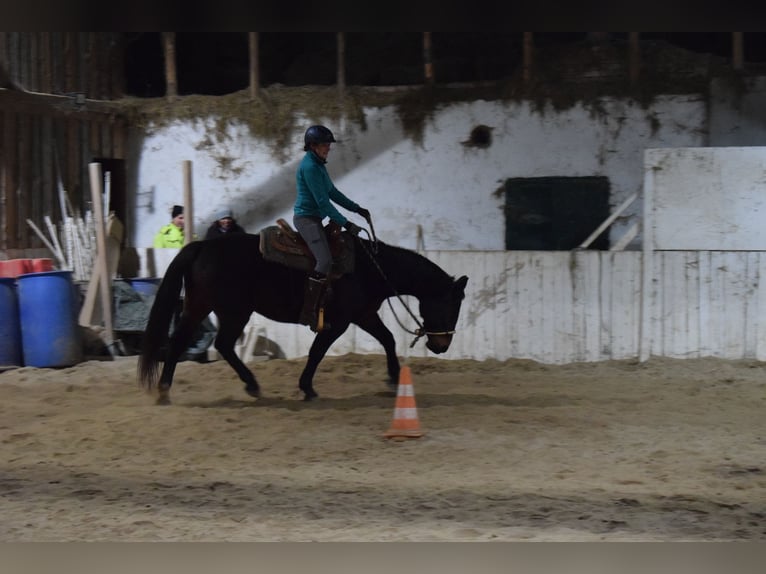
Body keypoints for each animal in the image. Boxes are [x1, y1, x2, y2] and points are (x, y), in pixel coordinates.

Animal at [141, 233, 472, 404]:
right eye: (450, 304)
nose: (441, 346)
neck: (368, 268)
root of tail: (202, 246)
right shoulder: (339, 322)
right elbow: (317, 352)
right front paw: (307, 388)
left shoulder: (363, 314)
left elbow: (388, 339)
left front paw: (392, 377)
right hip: (229, 311)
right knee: (213, 343)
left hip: (207, 307)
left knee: (191, 342)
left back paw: (170, 390)